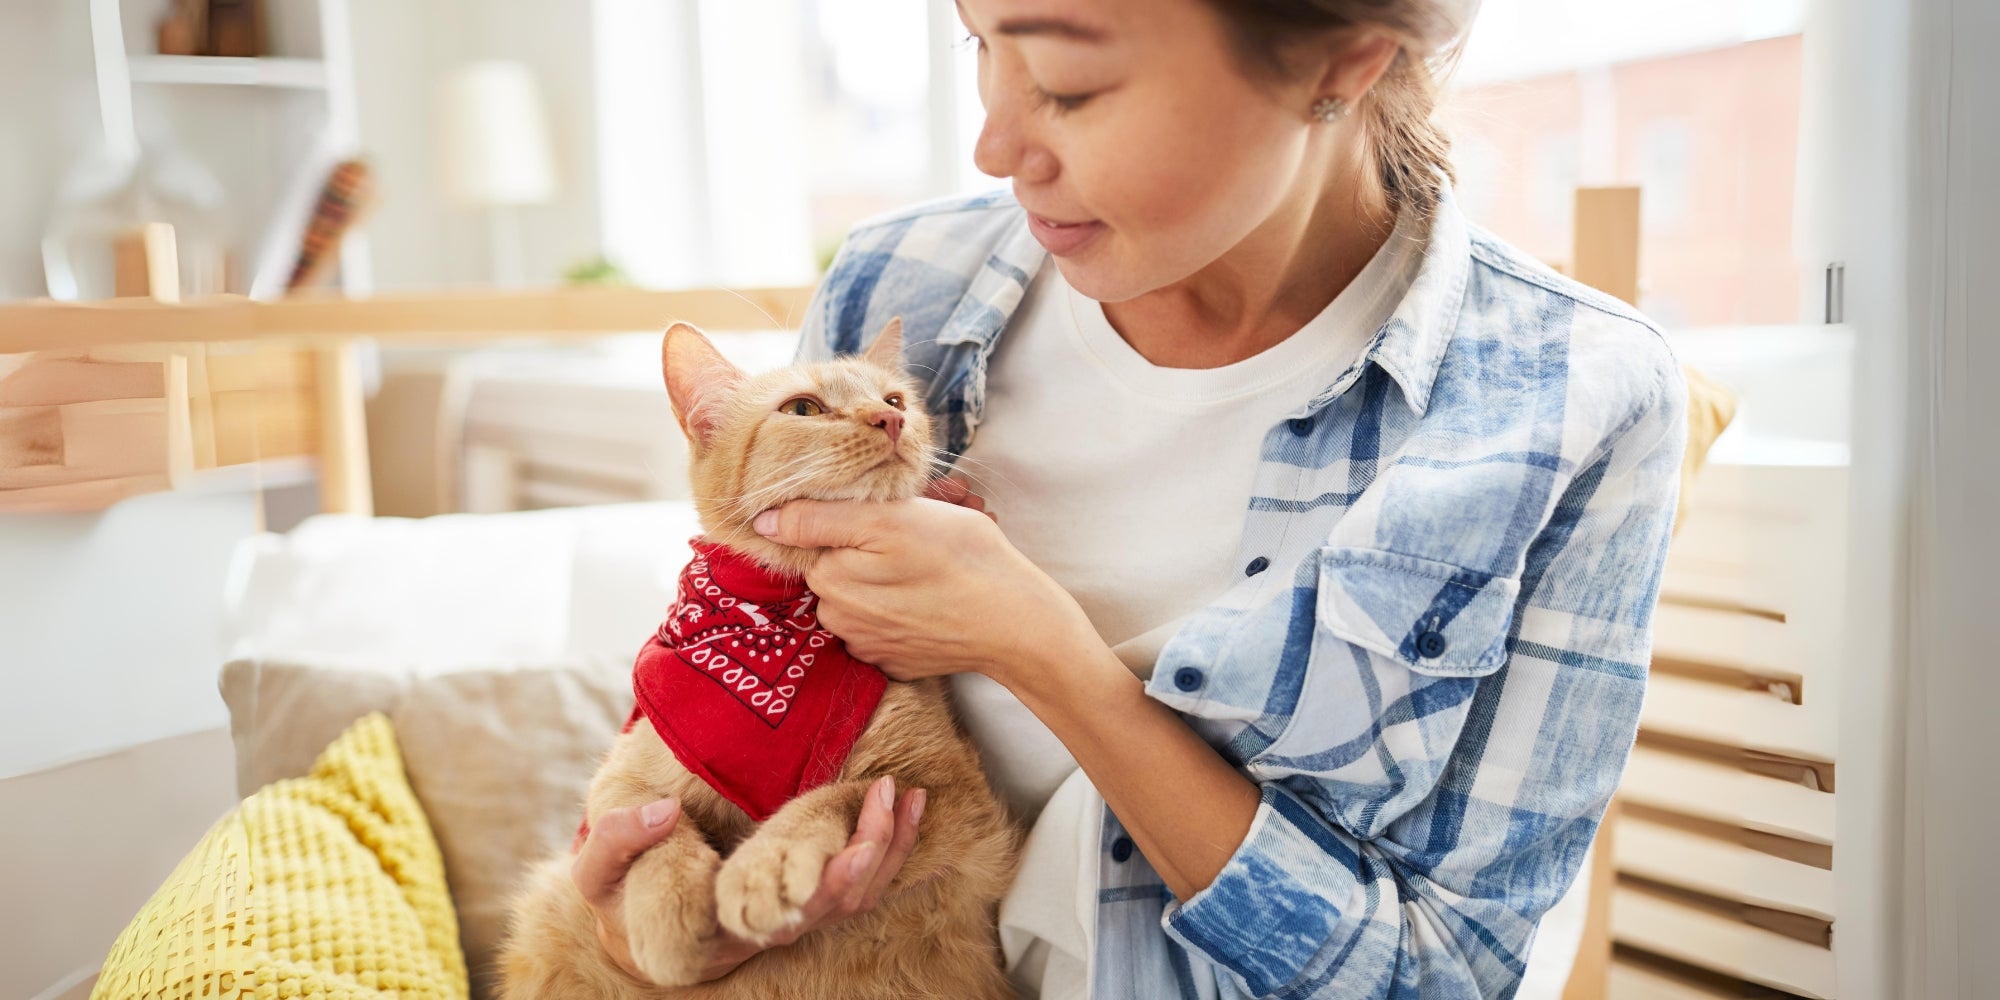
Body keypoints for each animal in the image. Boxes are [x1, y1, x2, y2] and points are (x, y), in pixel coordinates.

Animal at [498, 322, 1024, 1000]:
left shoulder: (954, 796)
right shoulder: (623, 776)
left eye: (896, 400)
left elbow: (840, 795)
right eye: (803, 409)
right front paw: (670, 909)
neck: (779, 622)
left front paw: (767, 864)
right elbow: (653, 826)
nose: (889, 420)